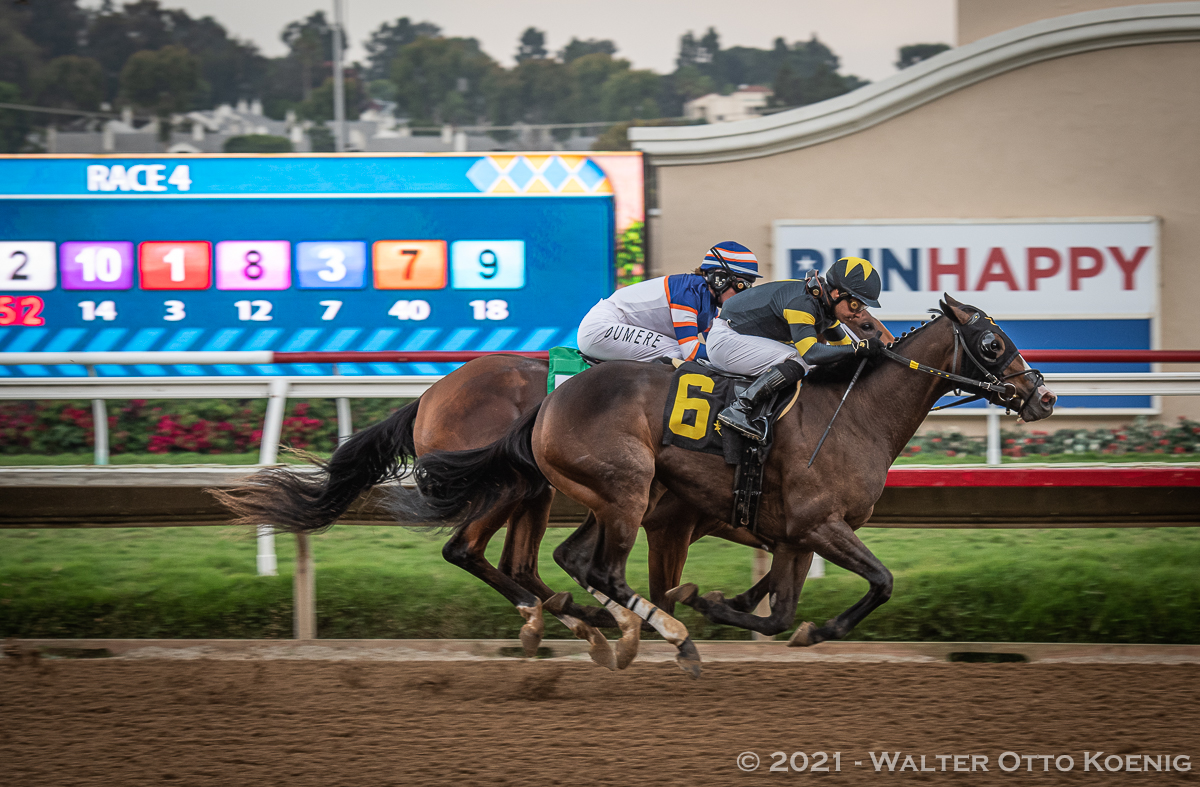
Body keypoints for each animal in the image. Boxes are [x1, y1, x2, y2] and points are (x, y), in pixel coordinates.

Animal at [388, 295, 1056, 676]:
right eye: (993, 343)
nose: (1043, 397)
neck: (854, 411)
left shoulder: (792, 533)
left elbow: (779, 610)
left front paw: (725, 604)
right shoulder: (811, 523)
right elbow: (880, 581)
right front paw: (701, 611)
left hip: (586, 496)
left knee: (549, 562)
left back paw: (588, 625)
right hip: (607, 490)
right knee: (547, 562)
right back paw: (648, 636)